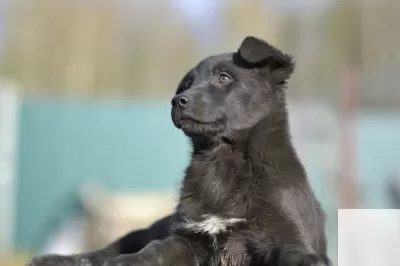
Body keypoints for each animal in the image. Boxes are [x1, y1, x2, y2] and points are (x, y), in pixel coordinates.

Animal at [26, 36, 330, 264]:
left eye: (224, 78)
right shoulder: (187, 236)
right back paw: (55, 259)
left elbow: (293, 252)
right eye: (188, 83)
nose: (177, 101)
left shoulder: (281, 232)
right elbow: (156, 249)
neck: (222, 162)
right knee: (109, 249)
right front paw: (129, 261)